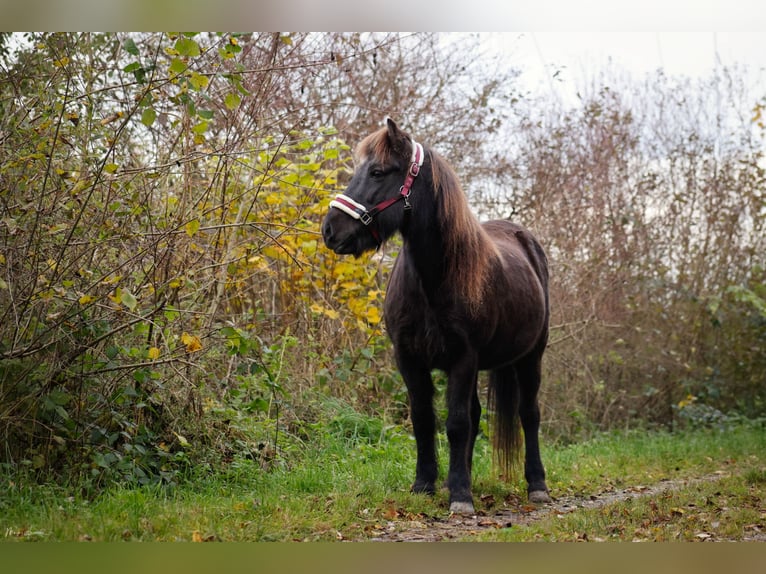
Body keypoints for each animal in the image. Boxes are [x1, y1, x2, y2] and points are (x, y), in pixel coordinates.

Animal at [321, 118, 551, 514]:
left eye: (378, 171)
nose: (330, 230)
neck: (433, 279)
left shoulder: (463, 358)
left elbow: (456, 423)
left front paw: (459, 495)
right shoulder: (409, 358)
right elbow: (424, 419)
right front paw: (426, 484)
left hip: (530, 357)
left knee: (528, 414)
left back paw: (536, 484)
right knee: (476, 415)